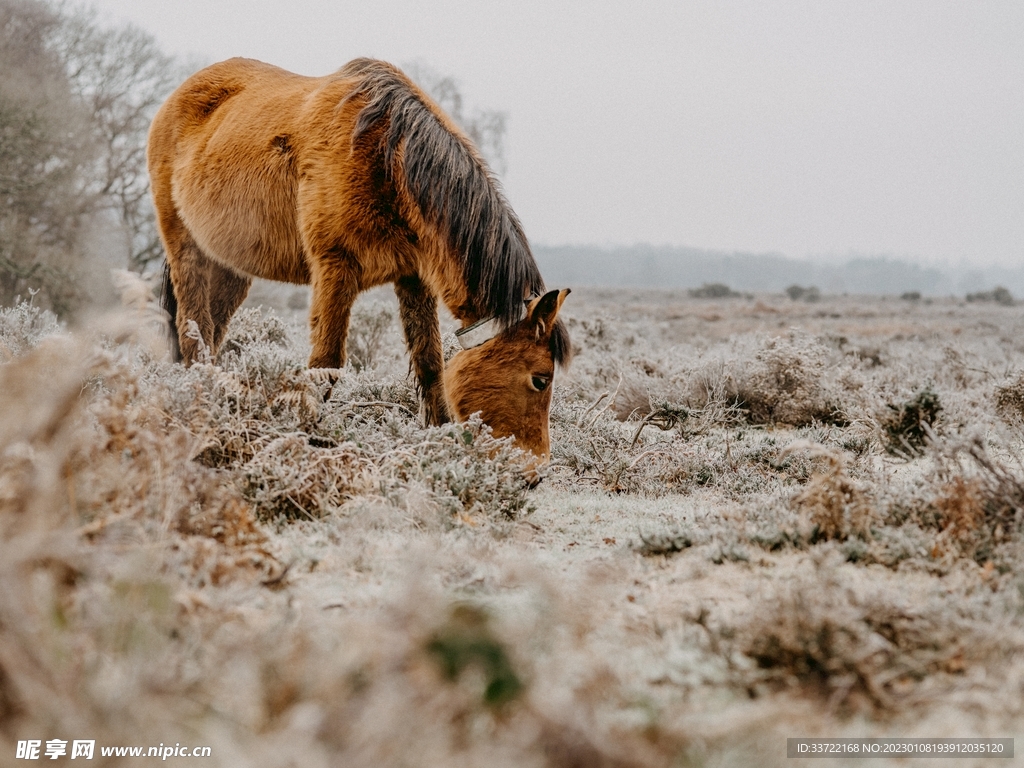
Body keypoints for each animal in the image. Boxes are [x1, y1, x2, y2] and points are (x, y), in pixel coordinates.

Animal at [147, 57, 571, 461]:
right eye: (540, 379)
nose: (535, 472)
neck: (387, 158)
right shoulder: (335, 268)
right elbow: (326, 363)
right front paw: (304, 440)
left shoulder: (413, 277)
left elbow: (430, 363)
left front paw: (440, 439)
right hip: (185, 248)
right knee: (194, 330)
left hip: (230, 265)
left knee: (213, 331)